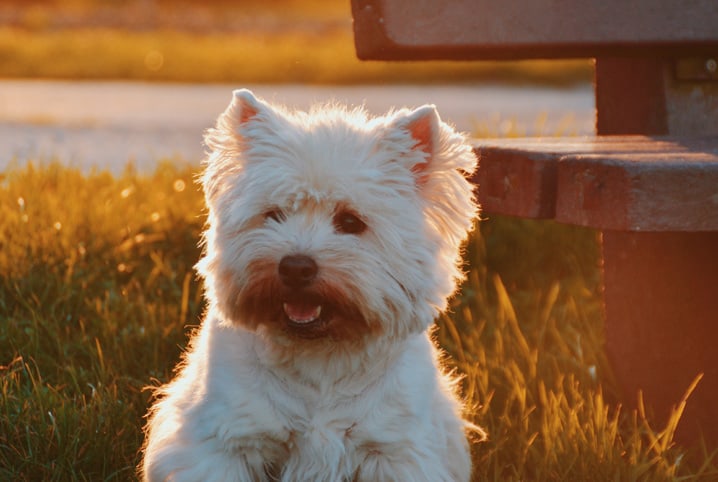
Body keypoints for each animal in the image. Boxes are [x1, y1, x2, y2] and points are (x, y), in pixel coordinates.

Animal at [141, 88, 484, 480]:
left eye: (351, 222)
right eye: (274, 214)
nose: (295, 267)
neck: (320, 358)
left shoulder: (395, 449)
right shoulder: (225, 441)